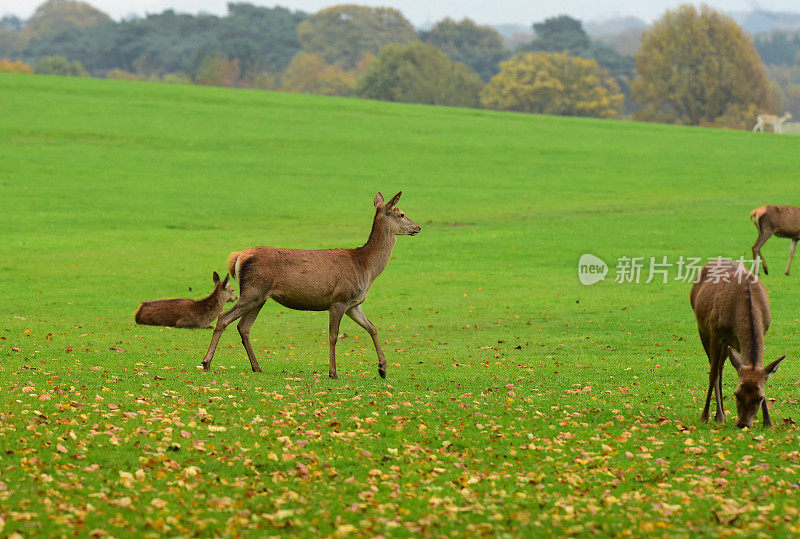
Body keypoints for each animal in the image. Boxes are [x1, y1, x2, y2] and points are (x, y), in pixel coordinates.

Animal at [202, 193, 418, 380]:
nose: (418, 227)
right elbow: (333, 335)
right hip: (253, 291)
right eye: (402, 214)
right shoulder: (339, 299)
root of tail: (237, 257)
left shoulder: (353, 304)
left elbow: (372, 327)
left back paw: (256, 367)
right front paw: (333, 373)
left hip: (260, 296)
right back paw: (206, 363)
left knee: (243, 326)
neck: (365, 266)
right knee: (223, 318)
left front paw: (382, 368)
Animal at [688, 260, 788, 428]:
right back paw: (719, 415)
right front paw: (704, 417)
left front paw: (767, 422)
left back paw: (720, 413)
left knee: (721, 367)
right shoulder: (716, 333)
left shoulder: (760, 333)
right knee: (716, 369)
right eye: (736, 394)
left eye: (760, 397)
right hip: (703, 329)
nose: (743, 424)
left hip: (728, 345)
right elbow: (712, 373)